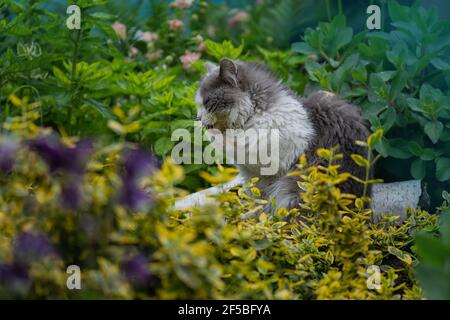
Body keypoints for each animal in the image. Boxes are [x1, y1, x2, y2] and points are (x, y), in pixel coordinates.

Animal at [175, 58, 370, 211]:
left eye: (207, 102)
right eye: (198, 104)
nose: (198, 118)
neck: (254, 117)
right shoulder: (250, 174)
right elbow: (253, 195)